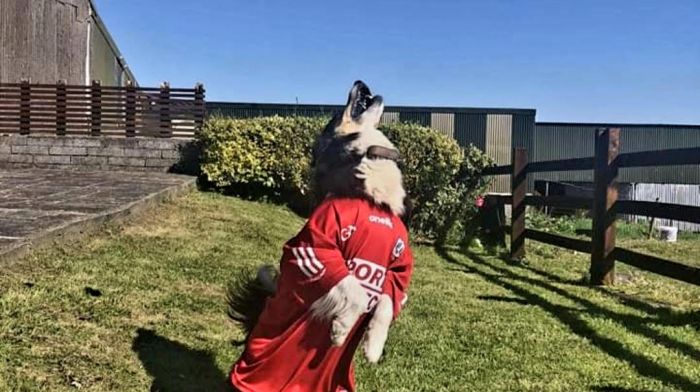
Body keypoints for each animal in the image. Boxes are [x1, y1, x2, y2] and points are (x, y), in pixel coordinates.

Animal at [230, 80, 412, 392]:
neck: (370, 197)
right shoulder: (316, 245)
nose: (360, 82)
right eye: (335, 115)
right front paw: (341, 330)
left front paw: (373, 348)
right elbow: (355, 290)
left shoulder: (397, 265)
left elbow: (388, 303)